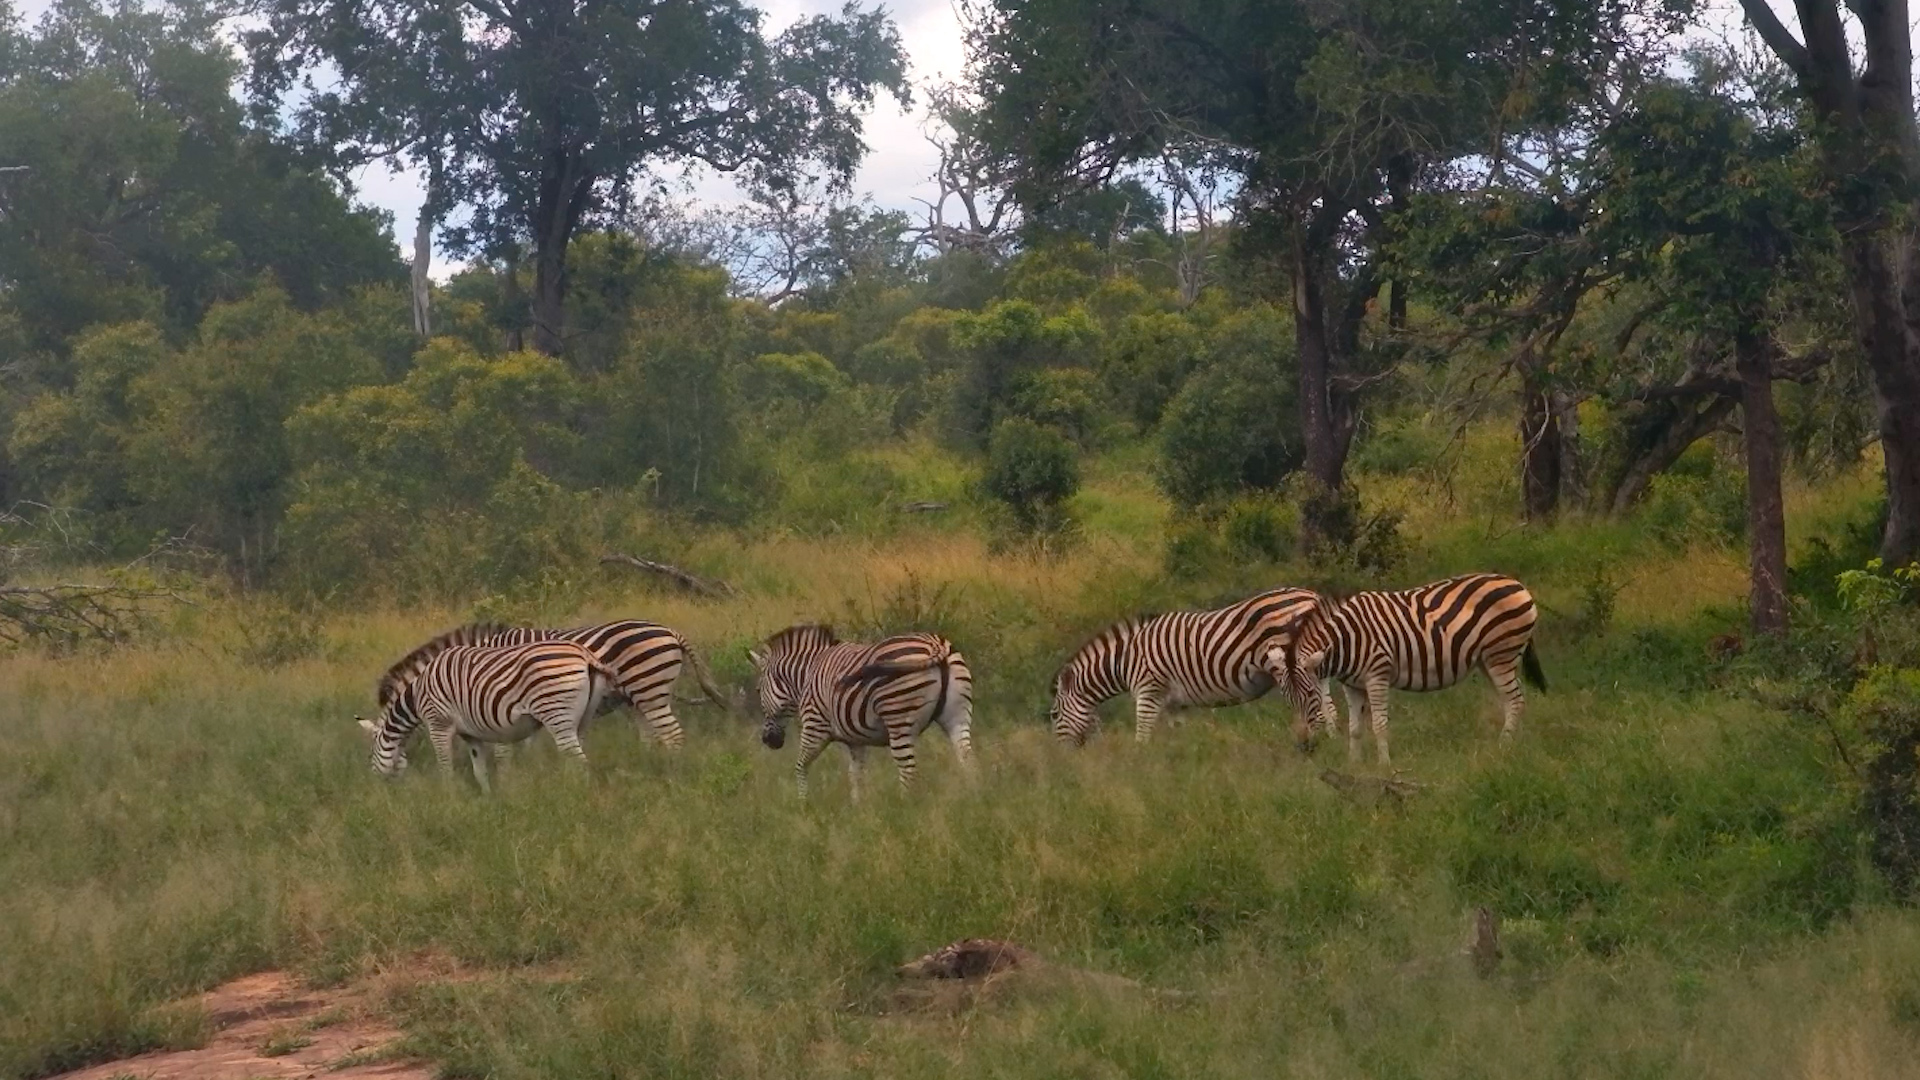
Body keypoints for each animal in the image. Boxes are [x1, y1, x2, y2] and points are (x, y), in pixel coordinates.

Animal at [356, 641, 630, 792]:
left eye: (369, 756)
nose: (378, 790)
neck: (417, 694)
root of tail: (585, 654)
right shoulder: (470, 734)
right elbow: (480, 770)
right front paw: (489, 802)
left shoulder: (438, 724)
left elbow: (445, 766)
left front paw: (448, 798)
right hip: (582, 718)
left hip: (556, 712)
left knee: (577, 759)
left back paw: (576, 794)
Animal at [750, 625, 974, 799]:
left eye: (758, 690)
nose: (768, 741)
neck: (806, 675)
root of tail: (935, 644)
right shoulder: (855, 740)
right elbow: (856, 775)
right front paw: (859, 811)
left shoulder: (815, 726)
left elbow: (800, 766)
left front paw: (803, 804)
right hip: (958, 716)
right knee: (966, 758)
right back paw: (971, 799)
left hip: (899, 718)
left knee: (908, 769)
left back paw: (904, 808)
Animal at [1048, 587, 1325, 746]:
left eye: (1053, 715)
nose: (1060, 757)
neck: (1125, 659)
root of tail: (1312, 595)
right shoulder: (1175, 704)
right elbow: (1177, 739)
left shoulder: (1149, 691)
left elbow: (1141, 737)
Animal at [1261, 573, 1546, 766]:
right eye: (1288, 701)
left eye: (1311, 695)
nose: (1304, 747)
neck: (1345, 640)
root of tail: (1517, 583)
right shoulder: (1352, 685)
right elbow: (1354, 728)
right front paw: (1354, 765)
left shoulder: (1377, 675)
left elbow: (1379, 724)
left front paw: (1384, 765)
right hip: (1488, 660)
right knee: (1510, 701)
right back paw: (1510, 742)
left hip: (1502, 655)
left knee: (1516, 700)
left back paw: (1504, 746)